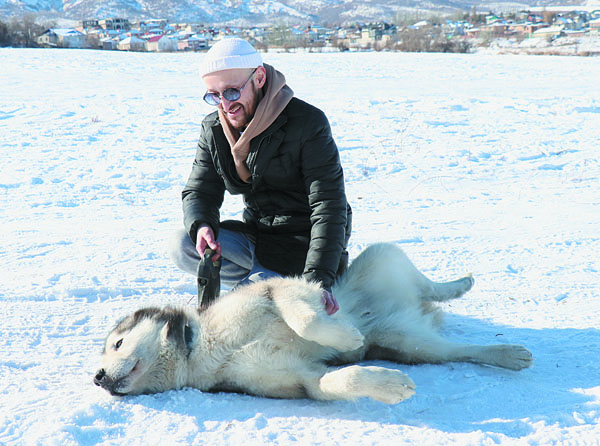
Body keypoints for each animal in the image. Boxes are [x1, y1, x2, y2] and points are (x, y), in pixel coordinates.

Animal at [95, 244, 536, 404]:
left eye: (117, 344)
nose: (98, 378)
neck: (202, 346)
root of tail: (407, 306)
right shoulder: (301, 379)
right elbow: (339, 379)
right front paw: (387, 385)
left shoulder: (279, 291)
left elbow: (306, 318)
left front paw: (342, 334)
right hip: (409, 342)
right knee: (462, 350)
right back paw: (507, 353)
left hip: (382, 255)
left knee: (429, 284)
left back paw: (457, 285)